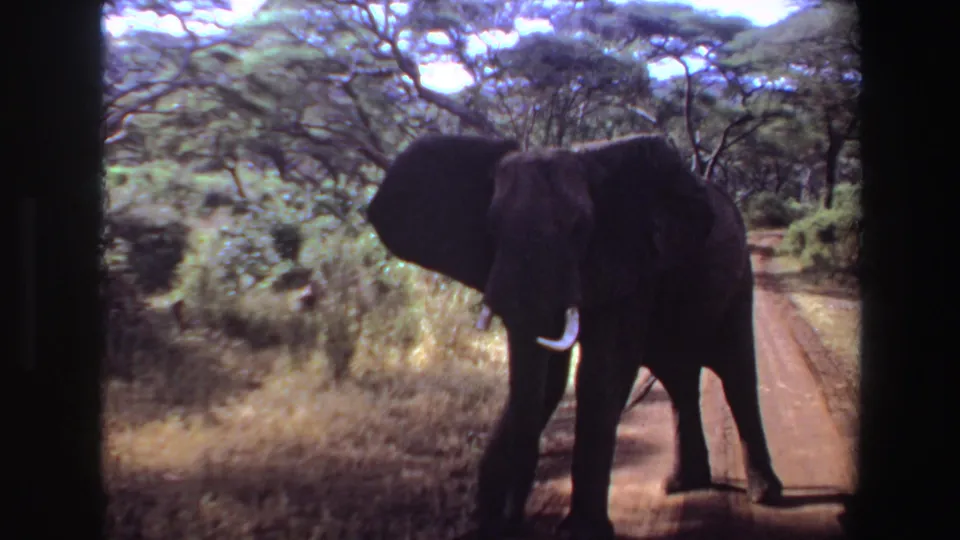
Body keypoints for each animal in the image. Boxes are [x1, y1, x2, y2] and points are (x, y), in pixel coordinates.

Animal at [365, 133, 783, 540]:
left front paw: (583, 532)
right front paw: (487, 522)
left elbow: (602, 371)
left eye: (580, 229)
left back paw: (765, 495)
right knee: (679, 380)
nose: (511, 522)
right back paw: (682, 485)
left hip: (739, 278)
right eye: (491, 228)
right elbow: (550, 376)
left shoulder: (630, 263)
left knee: (737, 376)